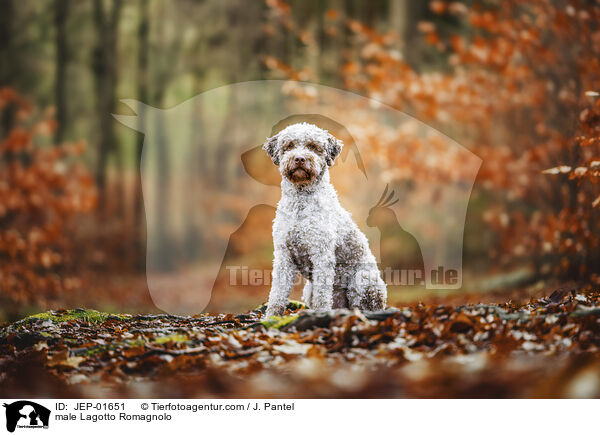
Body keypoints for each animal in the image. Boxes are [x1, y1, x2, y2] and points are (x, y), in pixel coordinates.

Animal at [264, 122, 386, 316]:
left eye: (313, 146)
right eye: (289, 145)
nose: (299, 159)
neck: (301, 204)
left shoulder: (322, 254)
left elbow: (322, 294)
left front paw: (322, 313)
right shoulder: (284, 255)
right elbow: (277, 293)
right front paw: (271, 317)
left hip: (363, 281)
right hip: (309, 290)